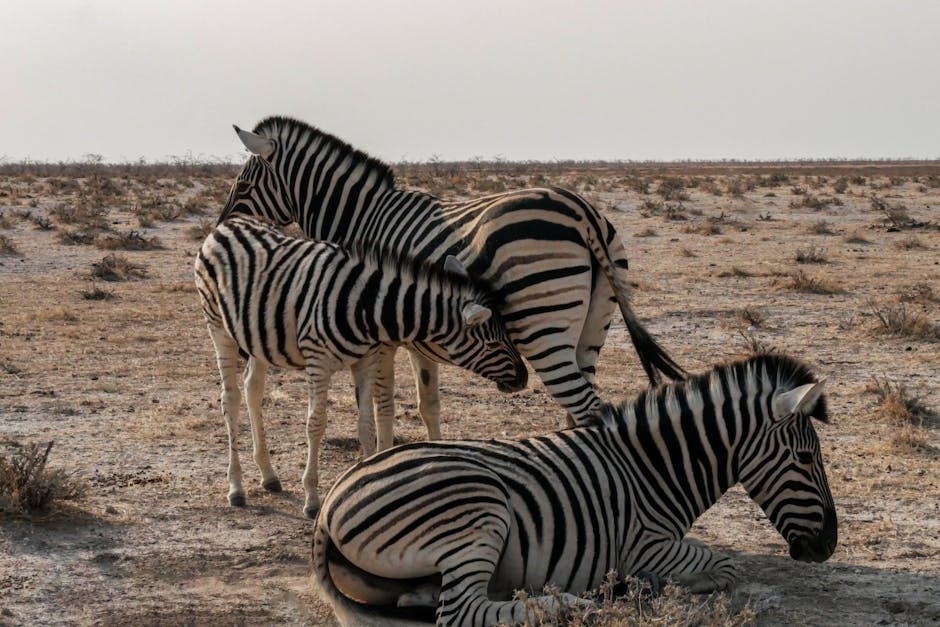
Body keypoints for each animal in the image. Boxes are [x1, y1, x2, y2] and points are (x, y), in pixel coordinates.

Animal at [194, 215, 527, 518]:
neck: (367, 307)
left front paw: (368, 478)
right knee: (230, 399)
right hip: (218, 327)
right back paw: (236, 488)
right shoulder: (318, 361)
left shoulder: (366, 361)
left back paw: (268, 475)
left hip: (257, 337)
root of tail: (228, 223)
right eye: (493, 344)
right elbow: (316, 424)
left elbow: (366, 424)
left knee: (253, 389)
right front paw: (312, 498)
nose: (524, 379)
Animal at [220, 116, 685, 433]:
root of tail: (582, 211)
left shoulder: (381, 328)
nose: (223, 226)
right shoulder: (418, 331)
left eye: (242, 185)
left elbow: (382, 403)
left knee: (585, 406)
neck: (360, 216)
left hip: (542, 327)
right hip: (593, 325)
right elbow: (428, 402)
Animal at [311, 353, 837, 626]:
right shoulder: (643, 544)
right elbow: (725, 566)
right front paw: (637, 586)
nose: (829, 547)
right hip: (479, 509)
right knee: (462, 612)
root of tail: (328, 506)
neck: (654, 468)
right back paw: (570, 605)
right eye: (805, 459)